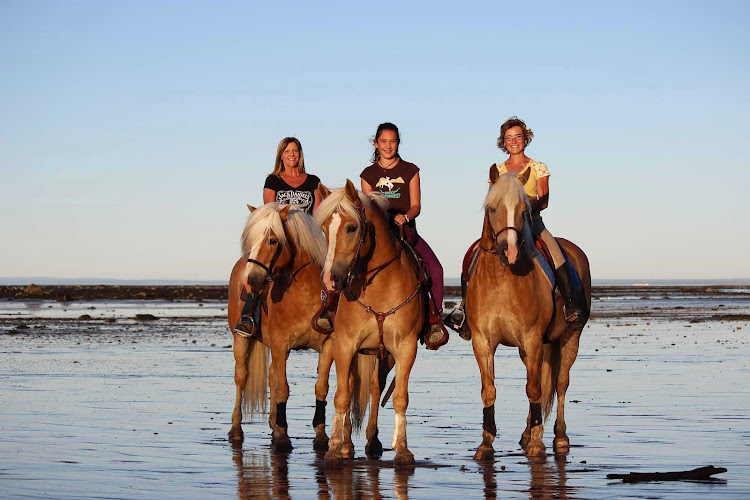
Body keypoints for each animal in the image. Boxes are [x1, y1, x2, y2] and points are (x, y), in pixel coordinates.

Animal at [228, 201, 378, 452]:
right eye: (251, 240)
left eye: (272, 240)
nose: (248, 282)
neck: (304, 293)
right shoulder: (280, 346)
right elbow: (283, 388)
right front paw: (282, 437)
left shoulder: (327, 346)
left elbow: (321, 387)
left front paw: (320, 435)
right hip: (240, 337)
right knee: (241, 377)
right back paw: (236, 430)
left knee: (271, 375)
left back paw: (273, 422)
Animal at [314, 181, 426, 468]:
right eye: (324, 229)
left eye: (352, 227)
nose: (330, 280)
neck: (379, 287)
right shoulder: (345, 345)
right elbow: (342, 395)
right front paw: (334, 448)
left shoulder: (405, 348)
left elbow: (399, 397)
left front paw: (402, 449)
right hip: (338, 348)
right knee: (346, 385)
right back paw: (346, 445)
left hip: (381, 355)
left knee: (375, 388)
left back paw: (371, 442)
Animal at [470, 172, 592, 460]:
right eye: (492, 208)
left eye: (524, 211)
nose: (510, 251)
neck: (500, 280)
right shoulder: (482, 342)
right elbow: (489, 390)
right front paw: (486, 444)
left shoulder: (533, 339)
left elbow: (534, 389)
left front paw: (537, 443)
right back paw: (526, 433)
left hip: (570, 337)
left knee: (560, 383)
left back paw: (559, 437)